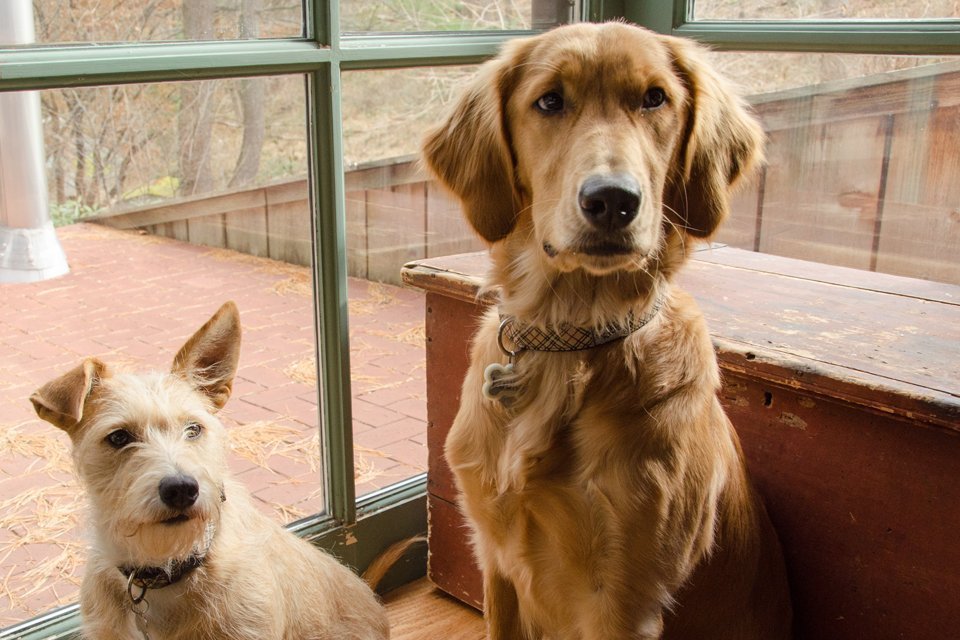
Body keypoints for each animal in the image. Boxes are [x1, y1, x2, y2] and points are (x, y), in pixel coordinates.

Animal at [424, 21, 792, 640]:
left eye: (655, 98)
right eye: (549, 101)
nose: (613, 200)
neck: (569, 332)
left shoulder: (624, 599)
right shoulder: (494, 557)